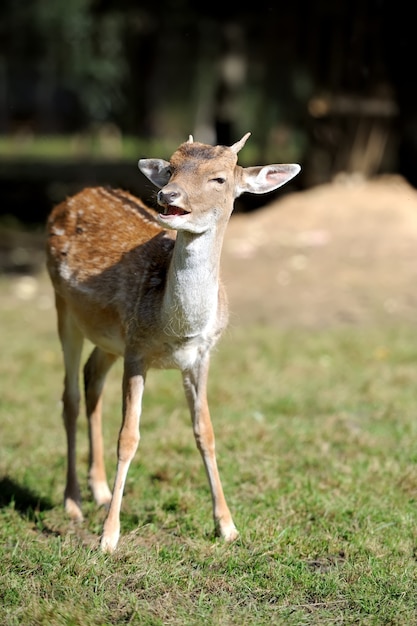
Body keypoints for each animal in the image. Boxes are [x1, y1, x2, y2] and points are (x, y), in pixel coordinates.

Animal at [45, 133, 300, 552]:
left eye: (219, 178)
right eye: (171, 169)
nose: (168, 195)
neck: (176, 328)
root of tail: (73, 197)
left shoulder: (201, 356)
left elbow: (205, 432)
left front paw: (227, 526)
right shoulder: (136, 351)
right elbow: (128, 438)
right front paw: (109, 537)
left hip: (108, 337)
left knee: (92, 378)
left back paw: (99, 490)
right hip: (64, 306)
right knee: (69, 398)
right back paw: (73, 503)